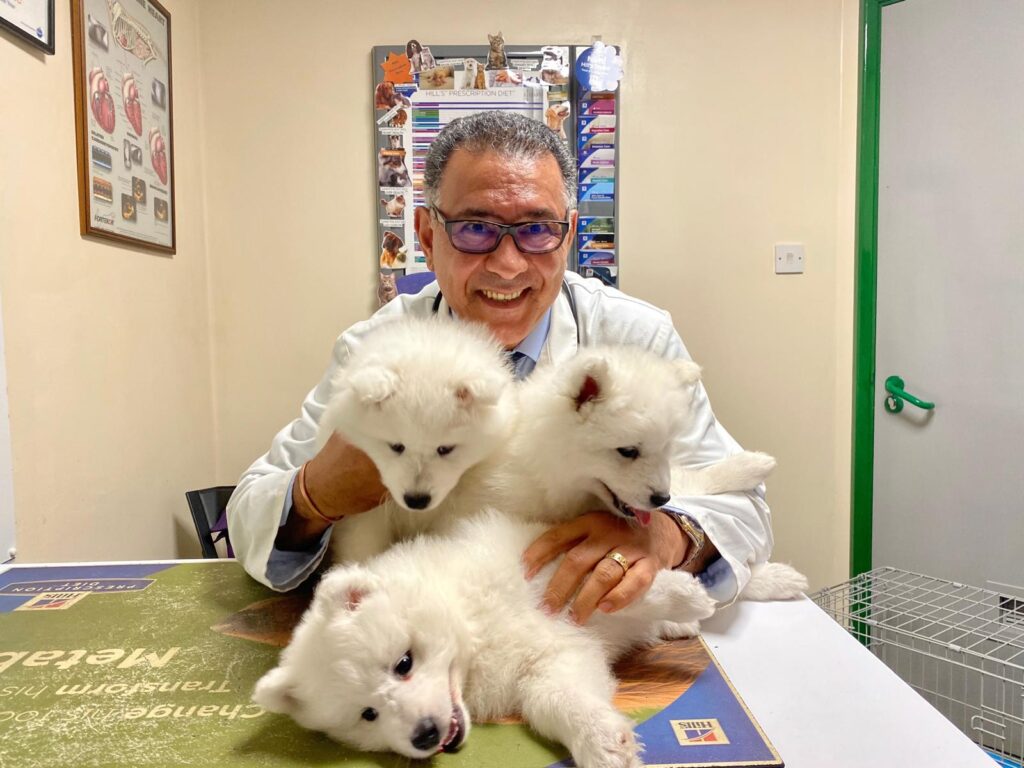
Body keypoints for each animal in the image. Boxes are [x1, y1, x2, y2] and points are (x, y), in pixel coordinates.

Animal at [252, 512, 716, 768]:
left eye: (404, 663)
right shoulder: (550, 665)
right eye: (368, 715)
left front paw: (685, 594)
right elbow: (557, 700)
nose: (424, 735)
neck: (475, 625)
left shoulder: (552, 577)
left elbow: (619, 590)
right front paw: (603, 743)